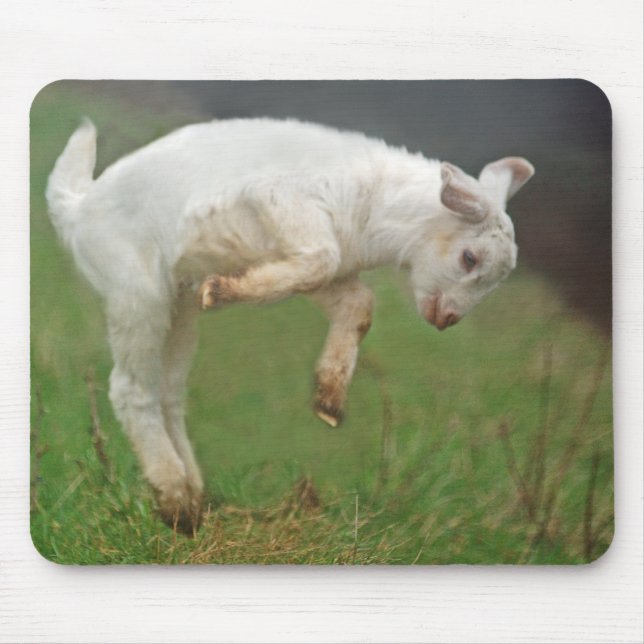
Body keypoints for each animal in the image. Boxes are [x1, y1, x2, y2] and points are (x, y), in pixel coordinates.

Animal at [46, 117, 534, 532]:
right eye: (469, 258)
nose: (447, 320)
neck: (377, 207)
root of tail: (78, 209)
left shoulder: (310, 262)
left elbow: (356, 301)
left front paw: (329, 402)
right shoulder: (280, 201)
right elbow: (324, 260)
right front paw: (220, 290)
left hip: (177, 307)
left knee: (168, 391)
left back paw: (194, 498)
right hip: (136, 293)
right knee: (130, 390)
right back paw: (176, 502)